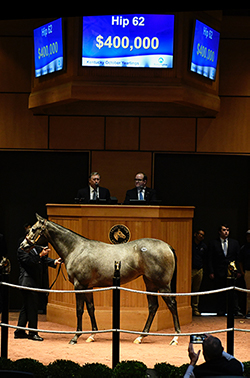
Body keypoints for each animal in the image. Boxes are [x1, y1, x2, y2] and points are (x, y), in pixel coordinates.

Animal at [19, 214, 180, 344]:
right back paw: (140, 337)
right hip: (150, 284)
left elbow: (79, 310)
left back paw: (175, 338)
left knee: (172, 305)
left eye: (34, 229)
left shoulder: (79, 286)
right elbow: (91, 308)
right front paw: (92, 335)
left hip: (163, 285)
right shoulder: (88, 287)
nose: (22, 245)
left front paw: (75, 337)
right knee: (153, 307)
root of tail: (168, 246)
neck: (76, 249)